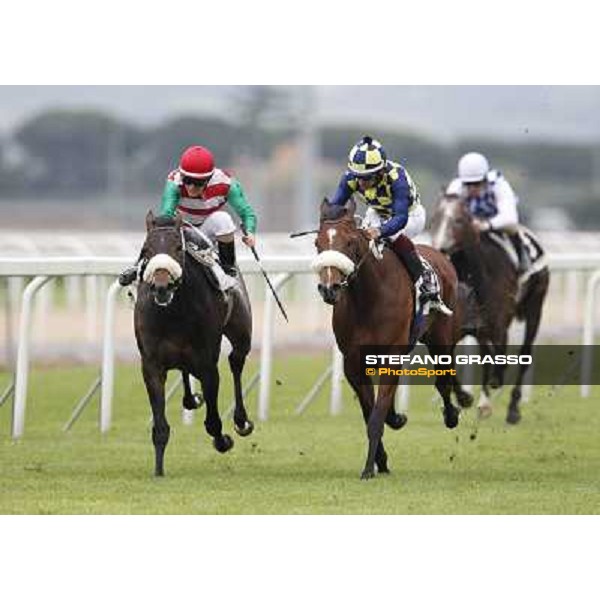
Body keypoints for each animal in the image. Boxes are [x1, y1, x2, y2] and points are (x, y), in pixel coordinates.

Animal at [135, 213, 254, 476]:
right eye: (145, 249)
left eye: (178, 248)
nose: (161, 287)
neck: (172, 313)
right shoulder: (151, 366)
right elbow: (160, 427)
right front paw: (158, 470)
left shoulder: (207, 363)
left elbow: (213, 422)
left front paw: (223, 441)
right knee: (186, 372)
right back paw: (193, 399)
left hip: (242, 331)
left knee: (236, 361)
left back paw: (241, 421)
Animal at [312, 199, 466, 480]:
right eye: (318, 243)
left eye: (349, 242)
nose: (330, 289)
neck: (368, 298)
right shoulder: (353, 363)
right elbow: (370, 411)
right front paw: (381, 459)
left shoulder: (391, 355)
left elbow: (376, 416)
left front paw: (368, 469)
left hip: (441, 338)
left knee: (443, 379)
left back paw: (452, 414)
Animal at [428, 192, 552, 422]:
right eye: (434, 219)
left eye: (459, 220)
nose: (439, 248)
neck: (474, 275)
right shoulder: (459, 326)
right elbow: (448, 361)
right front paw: (464, 397)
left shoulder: (500, 325)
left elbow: (500, 361)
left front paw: (494, 384)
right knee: (487, 355)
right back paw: (484, 403)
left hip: (535, 307)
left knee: (524, 353)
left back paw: (513, 408)